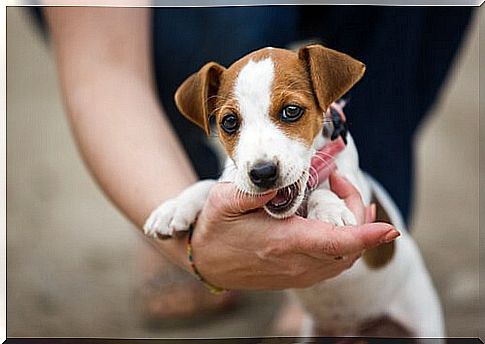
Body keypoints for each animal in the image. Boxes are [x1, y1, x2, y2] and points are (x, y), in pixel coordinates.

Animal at [143, 45, 442, 338]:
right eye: (229, 122)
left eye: (291, 111)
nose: (263, 173)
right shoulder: (234, 183)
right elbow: (208, 185)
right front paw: (174, 207)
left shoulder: (354, 187)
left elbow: (325, 192)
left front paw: (330, 211)